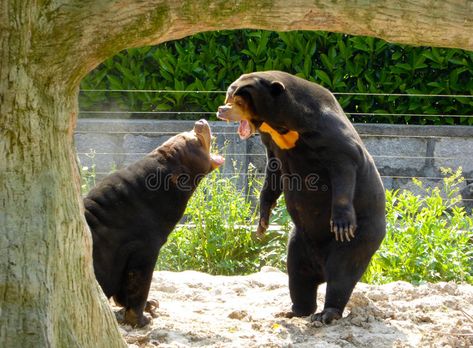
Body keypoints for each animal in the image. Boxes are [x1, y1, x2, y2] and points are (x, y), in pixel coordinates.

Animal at [83, 119, 223, 326]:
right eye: (194, 141)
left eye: (184, 135)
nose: (200, 122)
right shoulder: (143, 247)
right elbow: (139, 283)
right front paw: (141, 318)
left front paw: (151, 305)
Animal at [216, 70, 386, 324]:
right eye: (229, 95)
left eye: (238, 99)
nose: (221, 109)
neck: (283, 128)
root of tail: (320, 268)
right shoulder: (273, 144)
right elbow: (273, 175)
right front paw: (261, 223)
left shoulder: (330, 136)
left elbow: (344, 167)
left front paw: (342, 224)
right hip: (298, 242)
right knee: (297, 276)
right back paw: (294, 311)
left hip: (364, 236)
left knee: (341, 274)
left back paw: (326, 314)